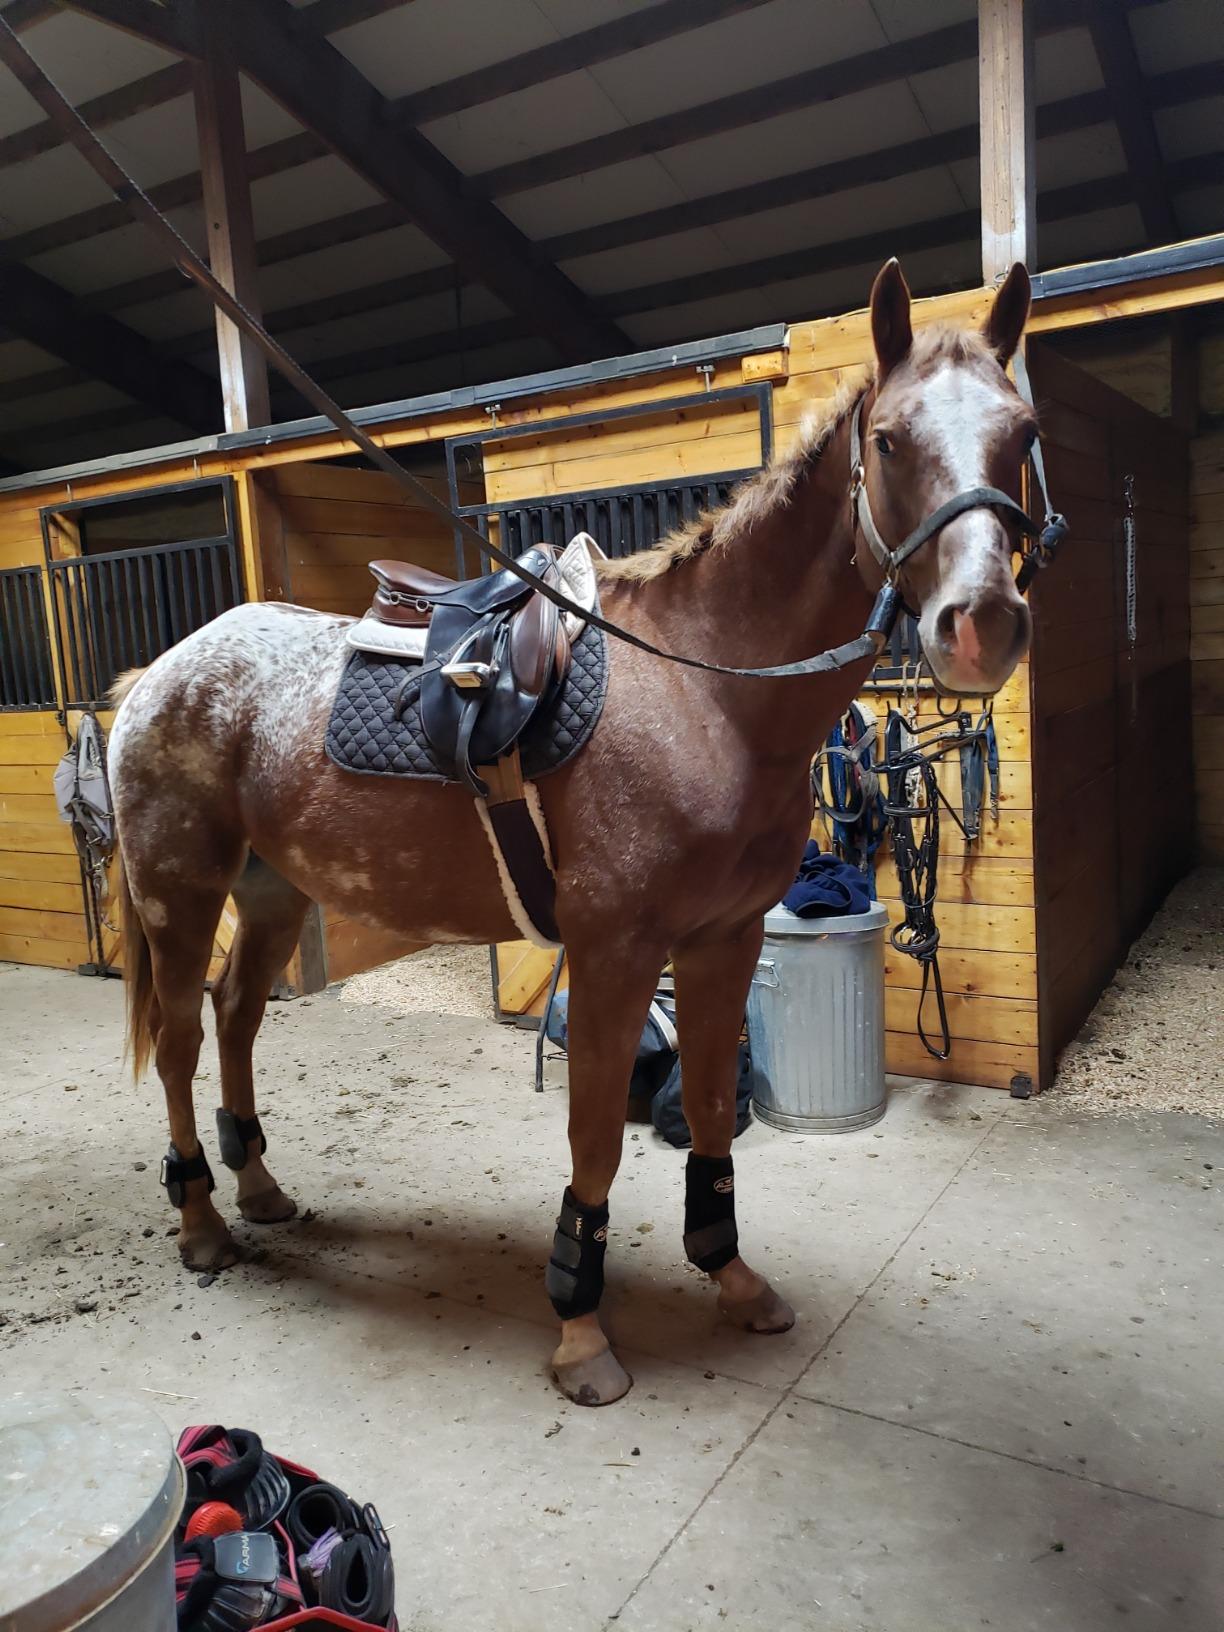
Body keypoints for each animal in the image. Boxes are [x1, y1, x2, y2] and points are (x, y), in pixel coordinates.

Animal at [107, 259, 1037, 1406]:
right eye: (892, 440)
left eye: (1024, 432)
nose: (980, 625)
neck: (705, 693)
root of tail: (158, 676)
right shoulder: (616, 952)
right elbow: (594, 1134)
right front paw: (581, 1331)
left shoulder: (722, 941)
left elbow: (715, 1107)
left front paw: (731, 1275)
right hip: (179, 892)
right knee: (184, 1040)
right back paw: (199, 1222)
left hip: (272, 890)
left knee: (237, 1018)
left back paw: (260, 1187)